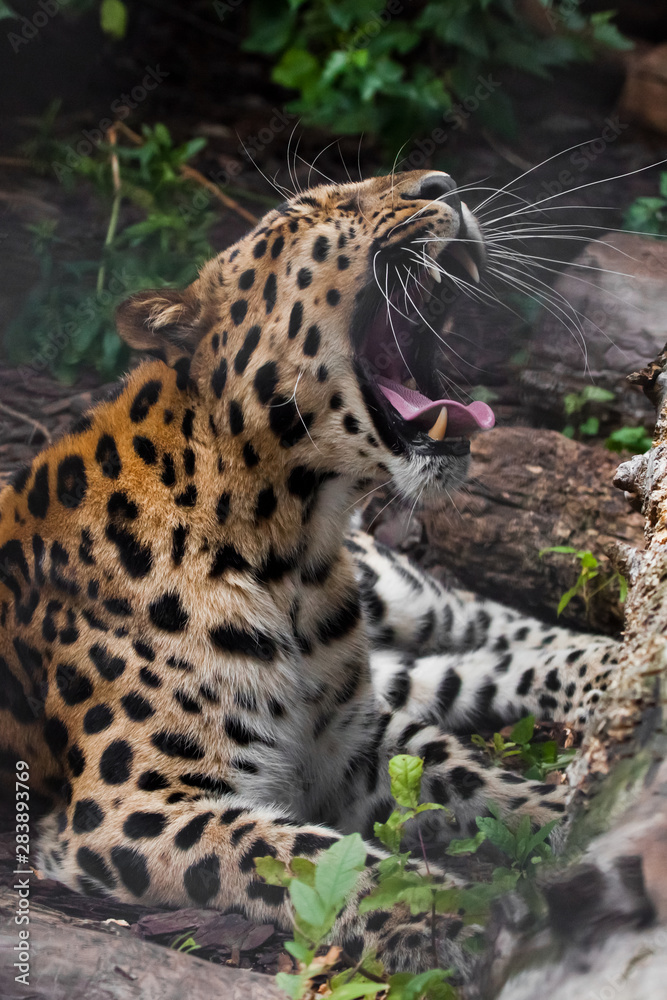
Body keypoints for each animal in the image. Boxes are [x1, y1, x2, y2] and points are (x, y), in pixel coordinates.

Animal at [0, 169, 619, 977]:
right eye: (322, 209)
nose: (444, 183)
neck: (286, 547)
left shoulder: (354, 742)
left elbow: (467, 773)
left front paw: (571, 820)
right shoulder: (128, 809)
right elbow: (303, 854)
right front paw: (458, 918)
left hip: (399, 596)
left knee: (487, 624)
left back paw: (621, 667)